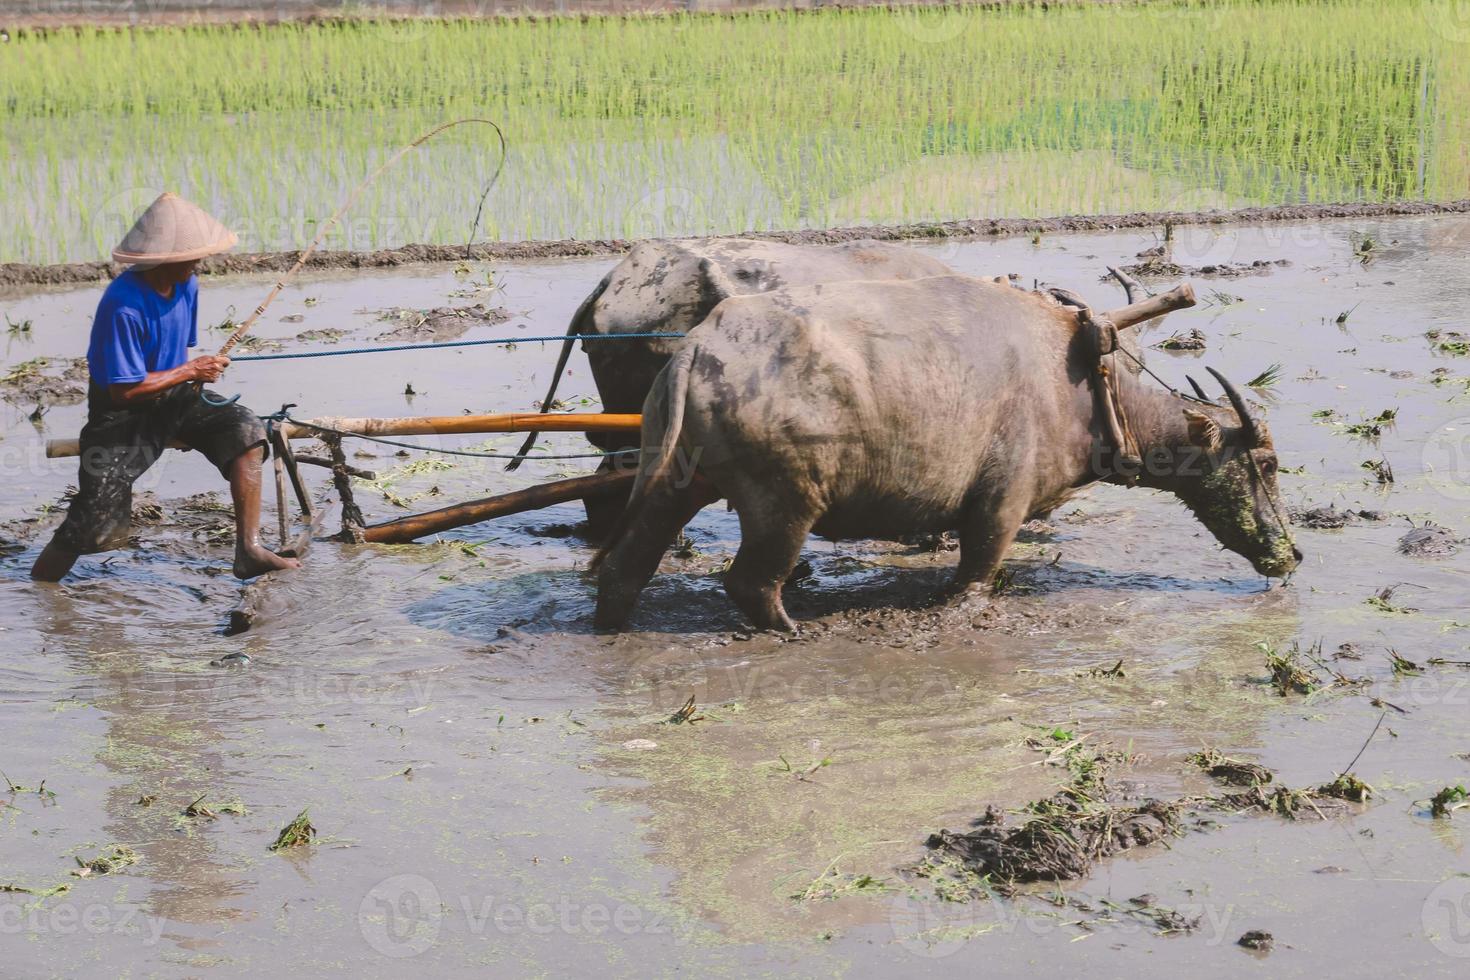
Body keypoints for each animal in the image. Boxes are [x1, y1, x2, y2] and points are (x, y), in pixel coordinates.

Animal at [590, 274, 1305, 637]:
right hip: (785, 503)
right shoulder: (1000, 505)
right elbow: (977, 571)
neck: (1084, 383)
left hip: (673, 485)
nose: (1291, 555)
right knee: (749, 581)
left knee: (625, 567)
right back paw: (789, 627)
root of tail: (700, 348)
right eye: (1265, 465)